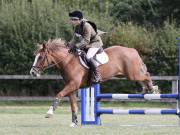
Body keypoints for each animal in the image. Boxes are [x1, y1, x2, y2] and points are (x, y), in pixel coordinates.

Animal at [29, 38, 159, 127]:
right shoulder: (72, 87)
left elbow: (59, 95)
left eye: (40, 57)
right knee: (143, 78)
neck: (68, 61)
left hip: (132, 74)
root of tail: (132, 50)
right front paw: (74, 122)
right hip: (126, 74)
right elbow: (73, 105)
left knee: (146, 75)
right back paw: (147, 89)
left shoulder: (72, 84)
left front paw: (49, 112)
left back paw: (152, 89)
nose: (33, 72)